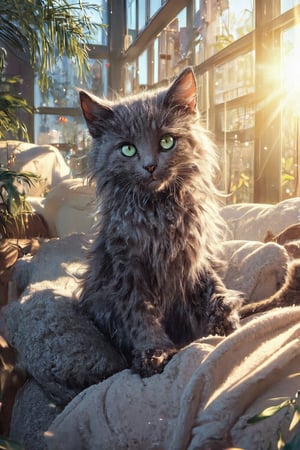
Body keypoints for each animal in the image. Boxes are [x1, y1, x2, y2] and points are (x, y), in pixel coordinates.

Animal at [78, 67, 243, 376]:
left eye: (167, 141)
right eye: (127, 149)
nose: (150, 166)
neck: (157, 213)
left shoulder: (196, 255)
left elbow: (213, 287)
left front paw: (224, 321)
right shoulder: (128, 269)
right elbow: (141, 315)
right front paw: (155, 352)